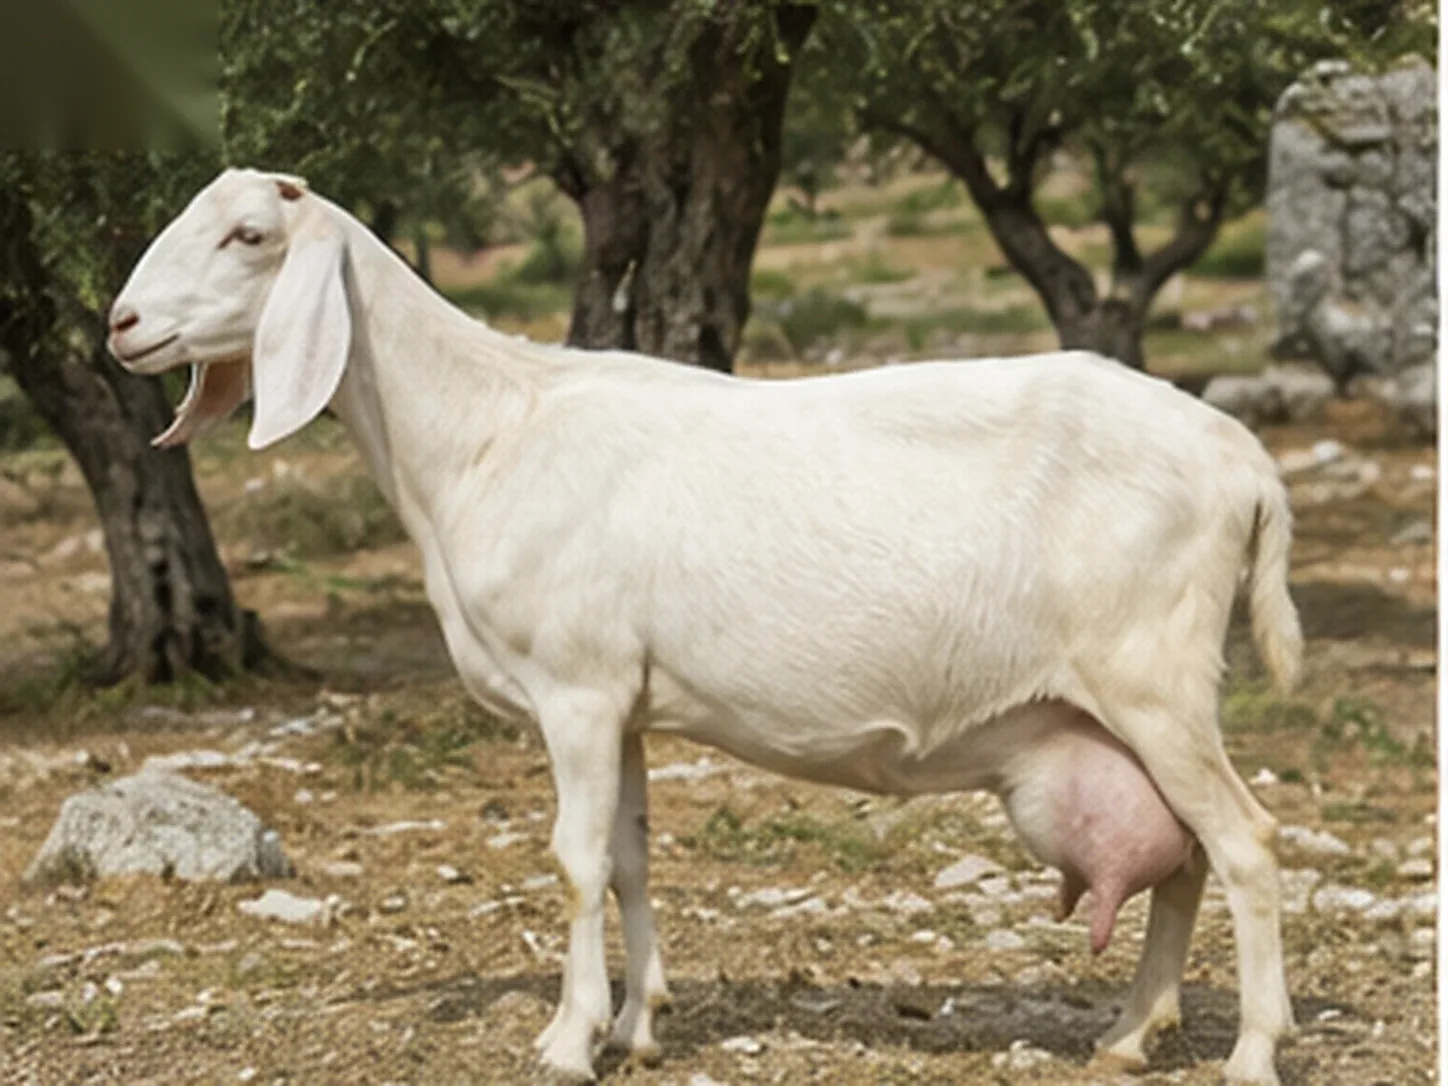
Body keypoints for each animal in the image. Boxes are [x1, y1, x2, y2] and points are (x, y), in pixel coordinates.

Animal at [109, 168, 1302, 1085]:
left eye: (249, 235)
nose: (121, 326)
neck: (485, 432)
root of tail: (1244, 461)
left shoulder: (578, 689)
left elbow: (576, 860)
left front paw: (567, 1040)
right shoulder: (627, 703)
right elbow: (633, 860)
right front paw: (640, 1027)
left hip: (1153, 674)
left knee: (1245, 842)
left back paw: (1250, 1051)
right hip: (1136, 701)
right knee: (1184, 858)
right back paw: (1129, 1035)